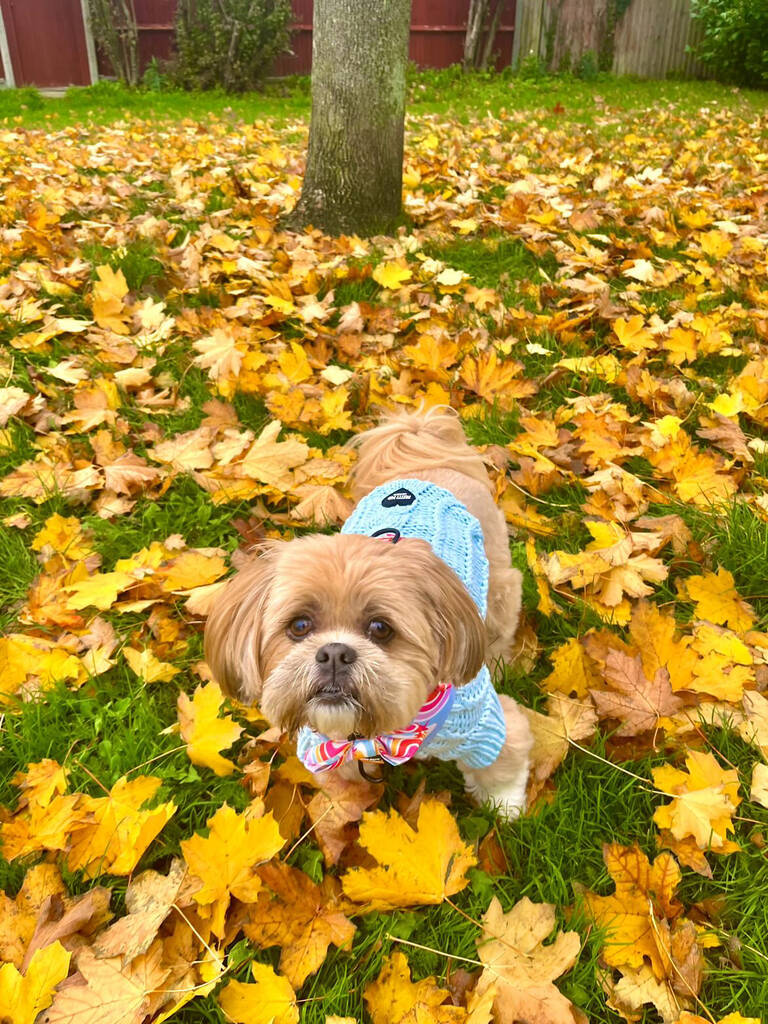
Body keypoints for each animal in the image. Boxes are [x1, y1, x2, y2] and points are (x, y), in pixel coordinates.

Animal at [202, 405, 536, 815]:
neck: (377, 735)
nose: (333, 653)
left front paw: (507, 810)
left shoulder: (486, 725)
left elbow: (505, 765)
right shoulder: (327, 752)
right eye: (299, 625)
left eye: (380, 628)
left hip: (500, 587)